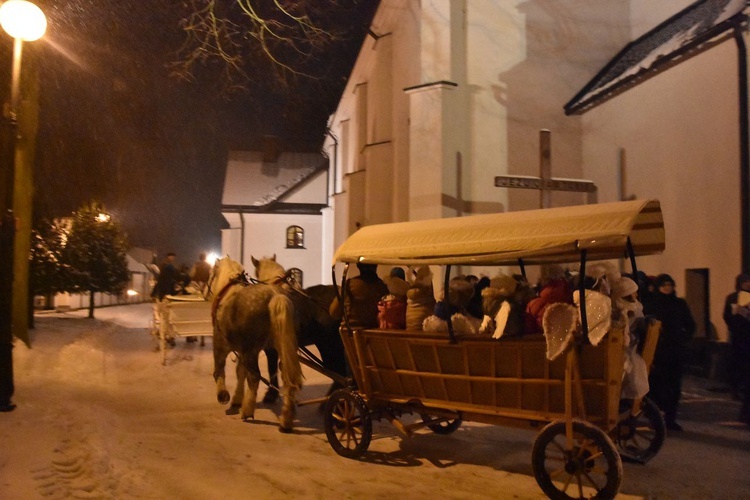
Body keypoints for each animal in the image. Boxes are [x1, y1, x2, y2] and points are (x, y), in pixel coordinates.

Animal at [207, 256, 304, 432]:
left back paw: (247, 410)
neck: (228, 295)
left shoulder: (222, 345)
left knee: (254, 376)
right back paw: (286, 419)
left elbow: (220, 369)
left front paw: (223, 395)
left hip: (252, 350)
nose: (204, 291)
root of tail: (275, 295)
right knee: (287, 376)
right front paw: (237, 398)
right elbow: (240, 372)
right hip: (285, 347)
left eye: (211, 274)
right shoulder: (245, 350)